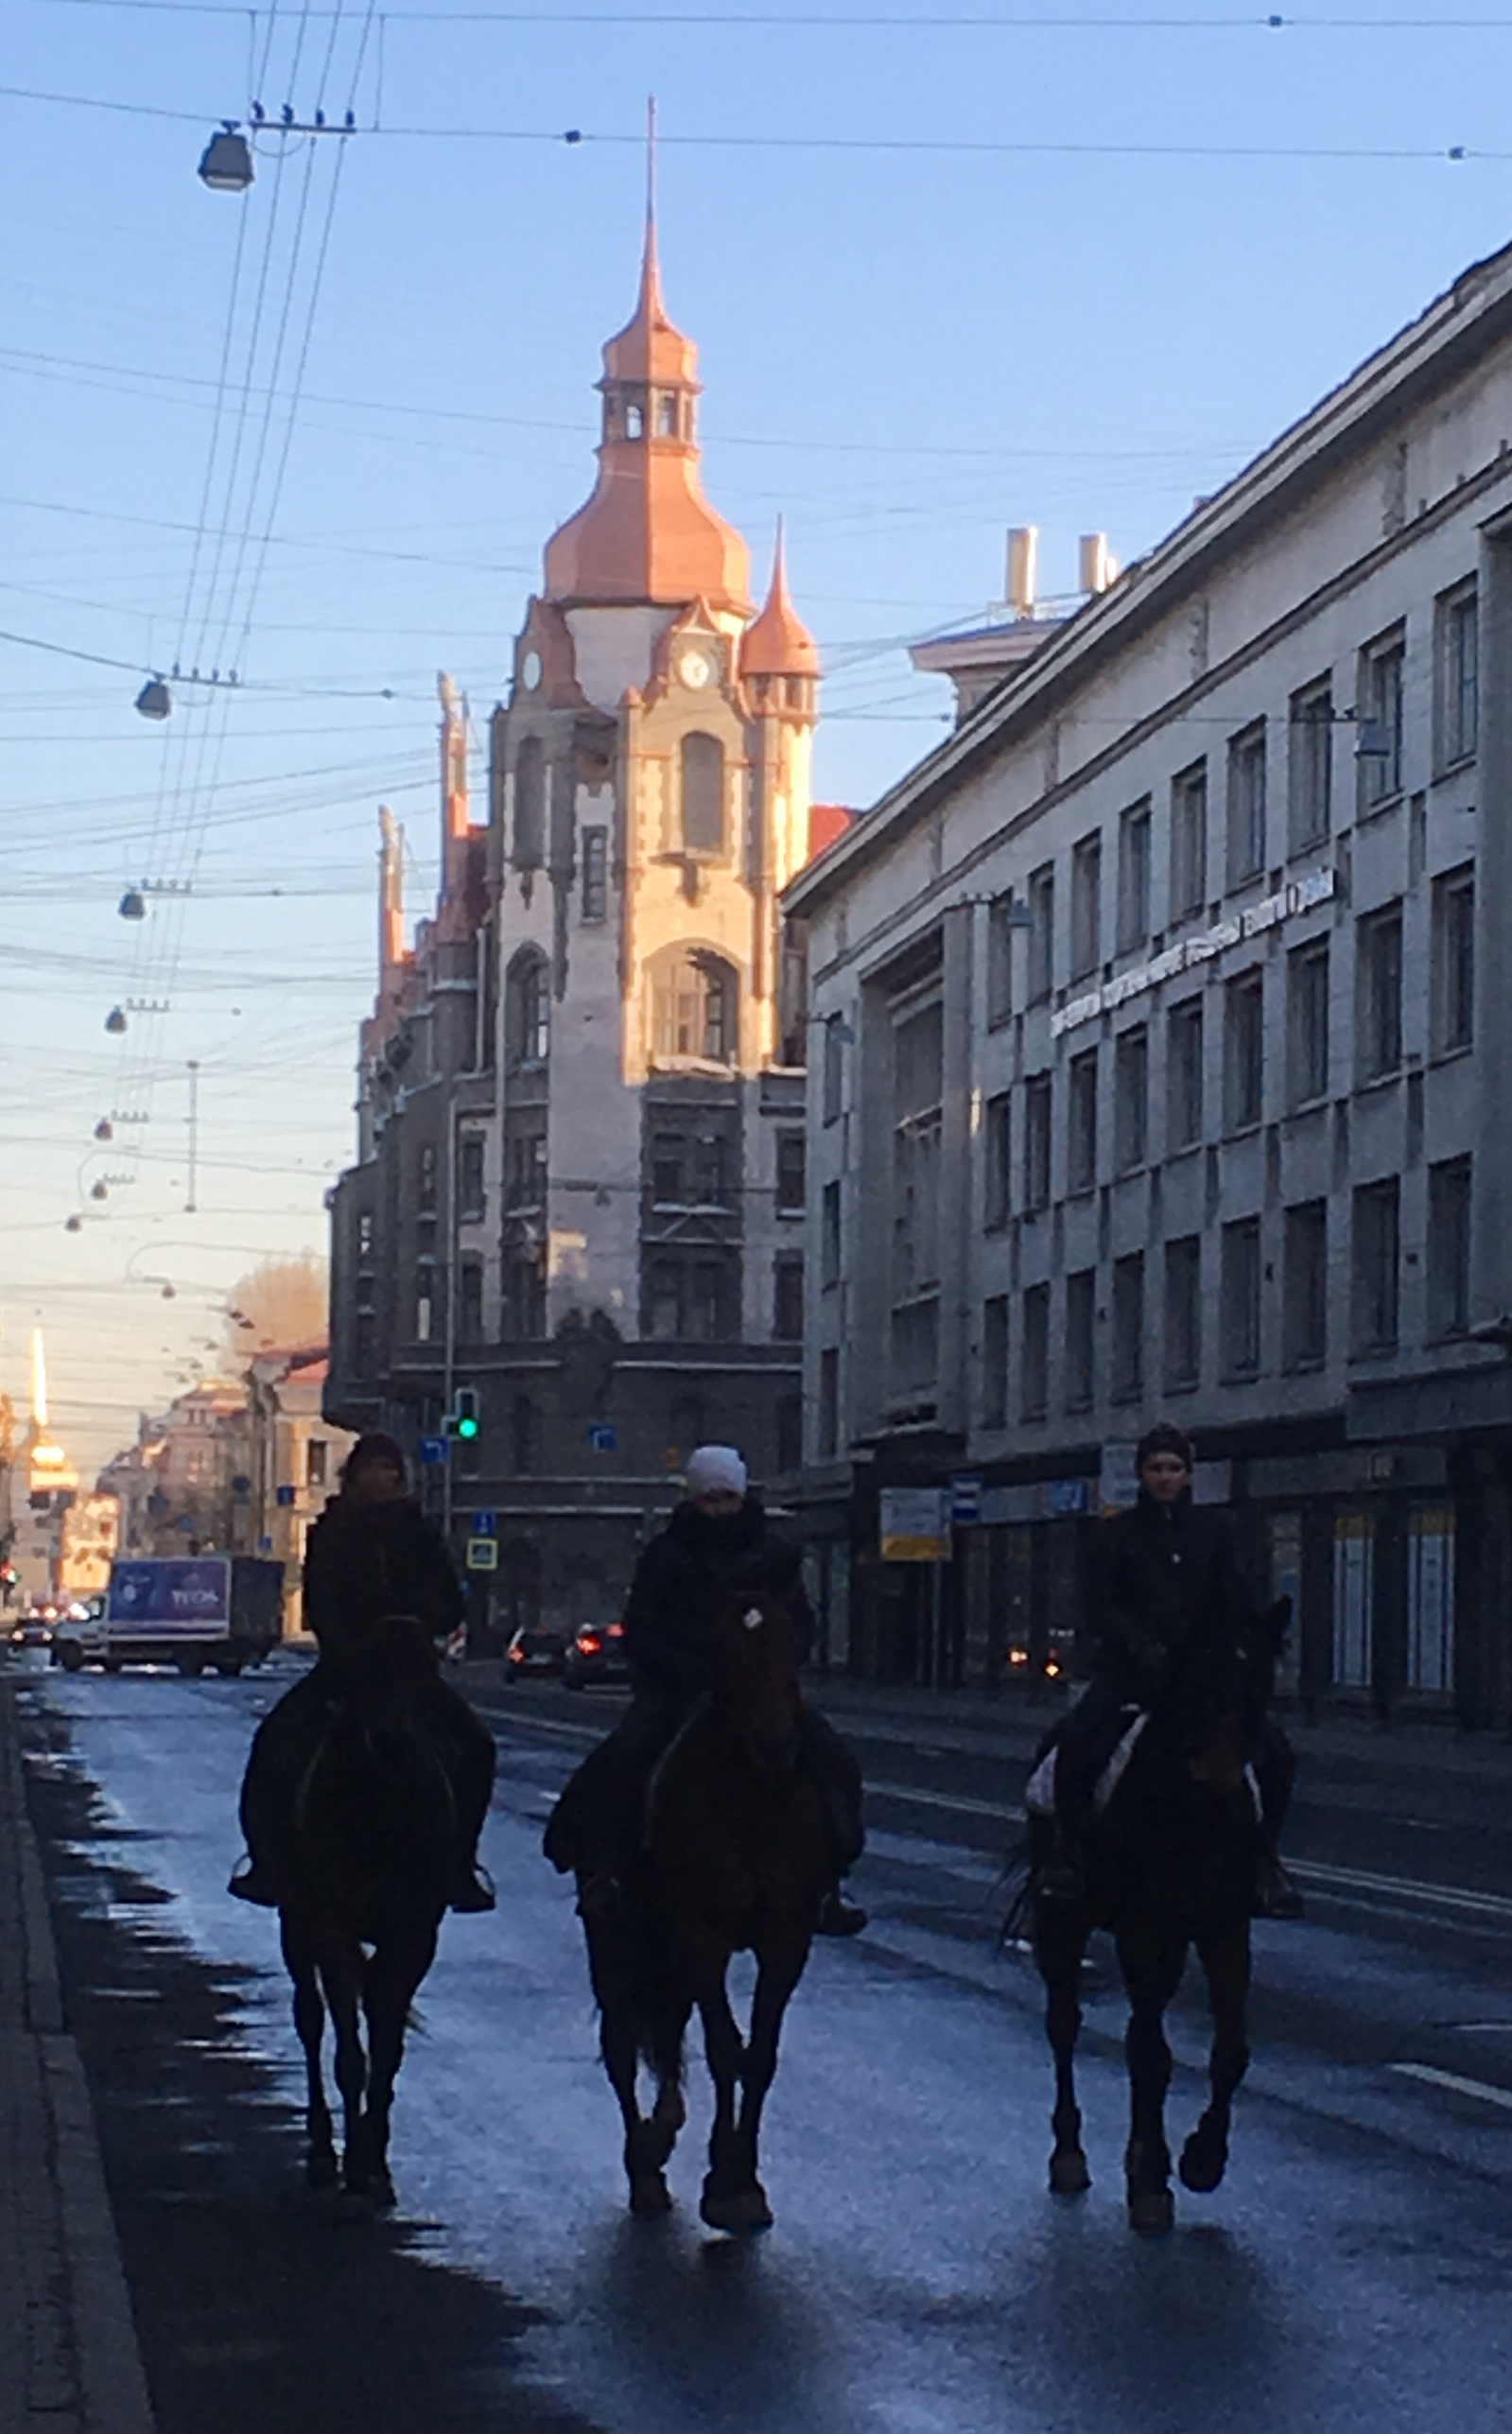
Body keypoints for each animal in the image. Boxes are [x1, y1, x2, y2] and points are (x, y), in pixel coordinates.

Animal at [277, 1616, 462, 2210]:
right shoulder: (330, 1926)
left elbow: (387, 2044)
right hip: (295, 1924)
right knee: (310, 2021)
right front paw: (353, 2163)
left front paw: (375, 2162)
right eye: (364, 1673)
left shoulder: (414, 1934)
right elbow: (350, 2052)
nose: (387, 1739)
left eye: (422, 1673)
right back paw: (320, 2149)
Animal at [577, 1587, 832, 2229]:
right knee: (622, 2048)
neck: (752, 1803)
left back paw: (662, 2133)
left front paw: (743, 2178)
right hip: (615, 1942)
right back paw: (643, 2166)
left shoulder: (786, 1939)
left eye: (791, 1643)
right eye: (729, 1653)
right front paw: (726, 2180)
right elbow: (723, 2050)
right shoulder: (703, 1933)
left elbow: (758, 2054)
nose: (775, 1742)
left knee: (668, 2034)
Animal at [1013, 1596, 1285, 2239]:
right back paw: (1070, 2156)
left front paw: (1202, 2160)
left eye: (1263, 1677)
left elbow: (1229, 2050)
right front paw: (1155, 2179)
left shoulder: (1223, 1930)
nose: (1222, 1766)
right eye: (1202, 1677)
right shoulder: (1145, 1930)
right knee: (1066, 2024)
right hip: (1064, 1923)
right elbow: (1150, 2053)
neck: (1192, 1815)